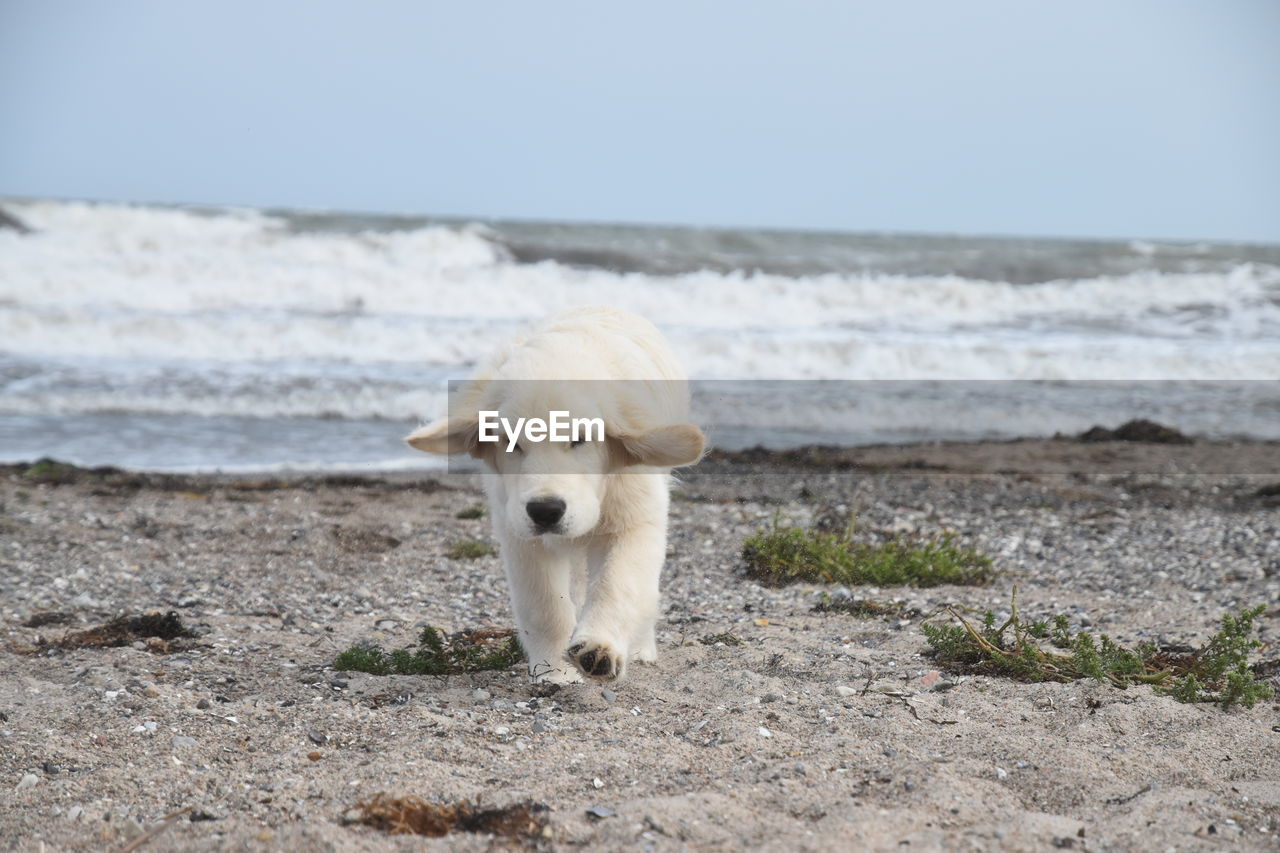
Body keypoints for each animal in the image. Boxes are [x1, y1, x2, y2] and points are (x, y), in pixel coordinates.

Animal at [404, 303, 706, 676]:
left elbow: (619, 583)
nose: (545, 511)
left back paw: (640, 647)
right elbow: (544, 605)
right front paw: (554, 670)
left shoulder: (634, 516)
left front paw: (599, 647)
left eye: (580, 438)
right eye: (511, 442)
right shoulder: (518, 531)